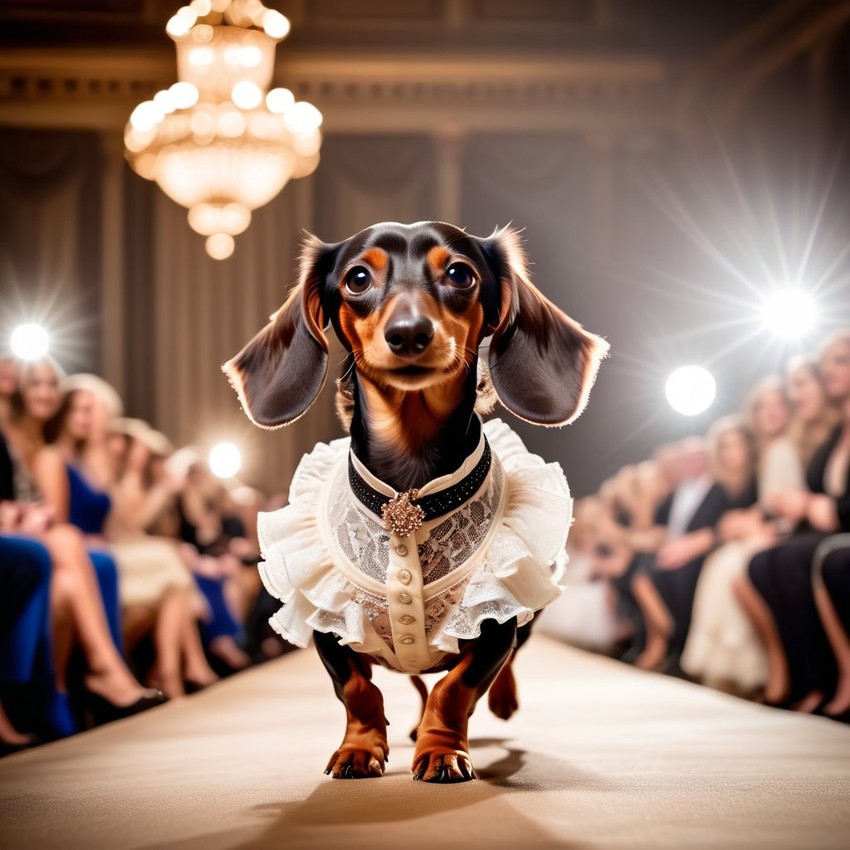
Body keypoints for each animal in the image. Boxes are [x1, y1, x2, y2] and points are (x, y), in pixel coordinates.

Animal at [227, 220, 604, 780]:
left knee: (494, 665)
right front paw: (359, 749)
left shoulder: (495, 622)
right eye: (358, 278)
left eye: (460, 274)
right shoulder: (327, 620)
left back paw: (500, 701)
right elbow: (358, 689)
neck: (408, 493)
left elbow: (456, 686)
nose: (408, 333)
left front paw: (443, 750)